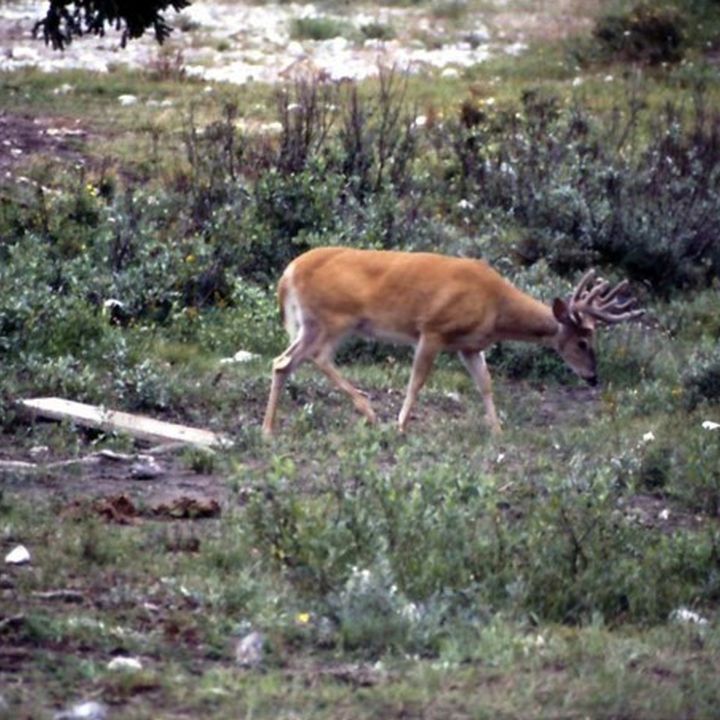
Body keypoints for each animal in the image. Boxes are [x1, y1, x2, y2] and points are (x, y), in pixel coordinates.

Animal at [261, 246, 644, 437]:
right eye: (582, 342)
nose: (593, 377)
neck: (496, 307)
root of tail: (287, 274)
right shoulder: (433, 329)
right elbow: (417, 381)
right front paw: (401, 425)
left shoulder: (470, 346)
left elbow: (486, 384)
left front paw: (498, 430)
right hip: (333, 317)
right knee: (312, 357)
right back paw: (369, 411)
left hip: (317, 322)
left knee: (284, 362)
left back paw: (268, 429)